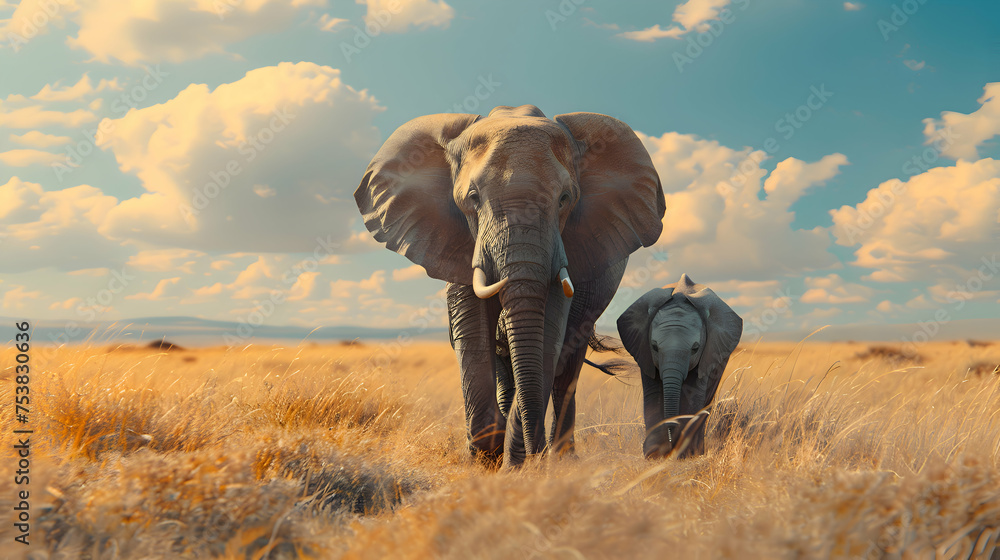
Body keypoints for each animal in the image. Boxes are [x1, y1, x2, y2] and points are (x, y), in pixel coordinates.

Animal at [355, 105, 665, 467]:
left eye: (564, 199)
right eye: (473, 198)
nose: (533, 458)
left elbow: (549, 333)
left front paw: (515, 464)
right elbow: (472, 330)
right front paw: (485, 461)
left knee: (565, 367)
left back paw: (561, 457)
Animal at [617, 274, 743, 459]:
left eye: (695, 348)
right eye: (654, 346)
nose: (671, 443)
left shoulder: (708, 353)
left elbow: (693, 395)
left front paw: (684, 454)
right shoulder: (643, 350)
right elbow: (653, 394)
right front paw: (654, 454)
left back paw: (697, 451)